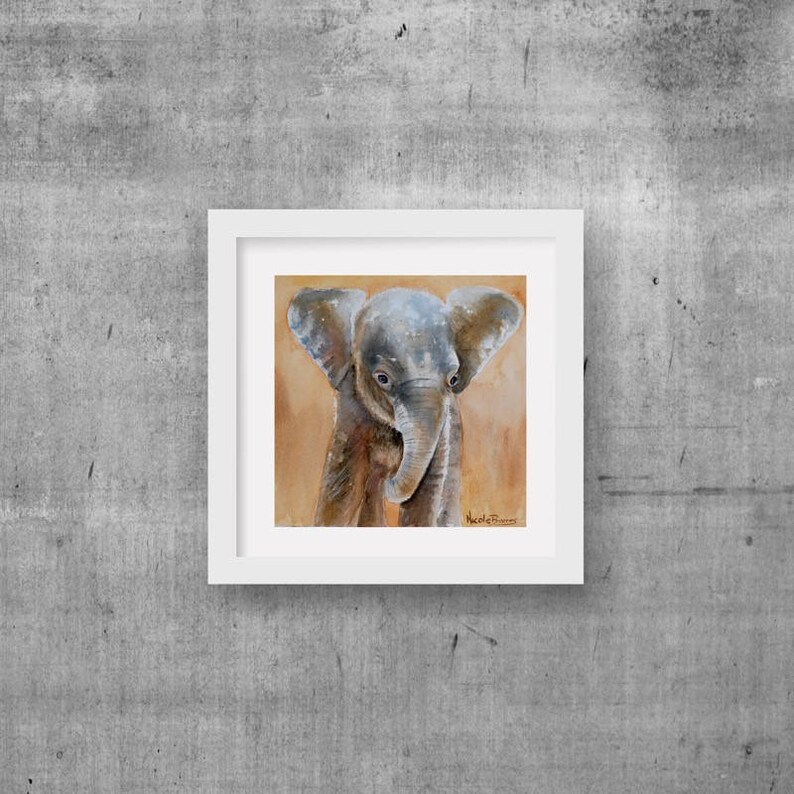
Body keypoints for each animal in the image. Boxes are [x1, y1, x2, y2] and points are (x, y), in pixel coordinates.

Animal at [287, 286, 523, 527]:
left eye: (453, 379)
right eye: (382, 378)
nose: (388, 474)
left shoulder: (446, 429)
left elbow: (426, 494)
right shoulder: (350, 408)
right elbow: (343, 485)